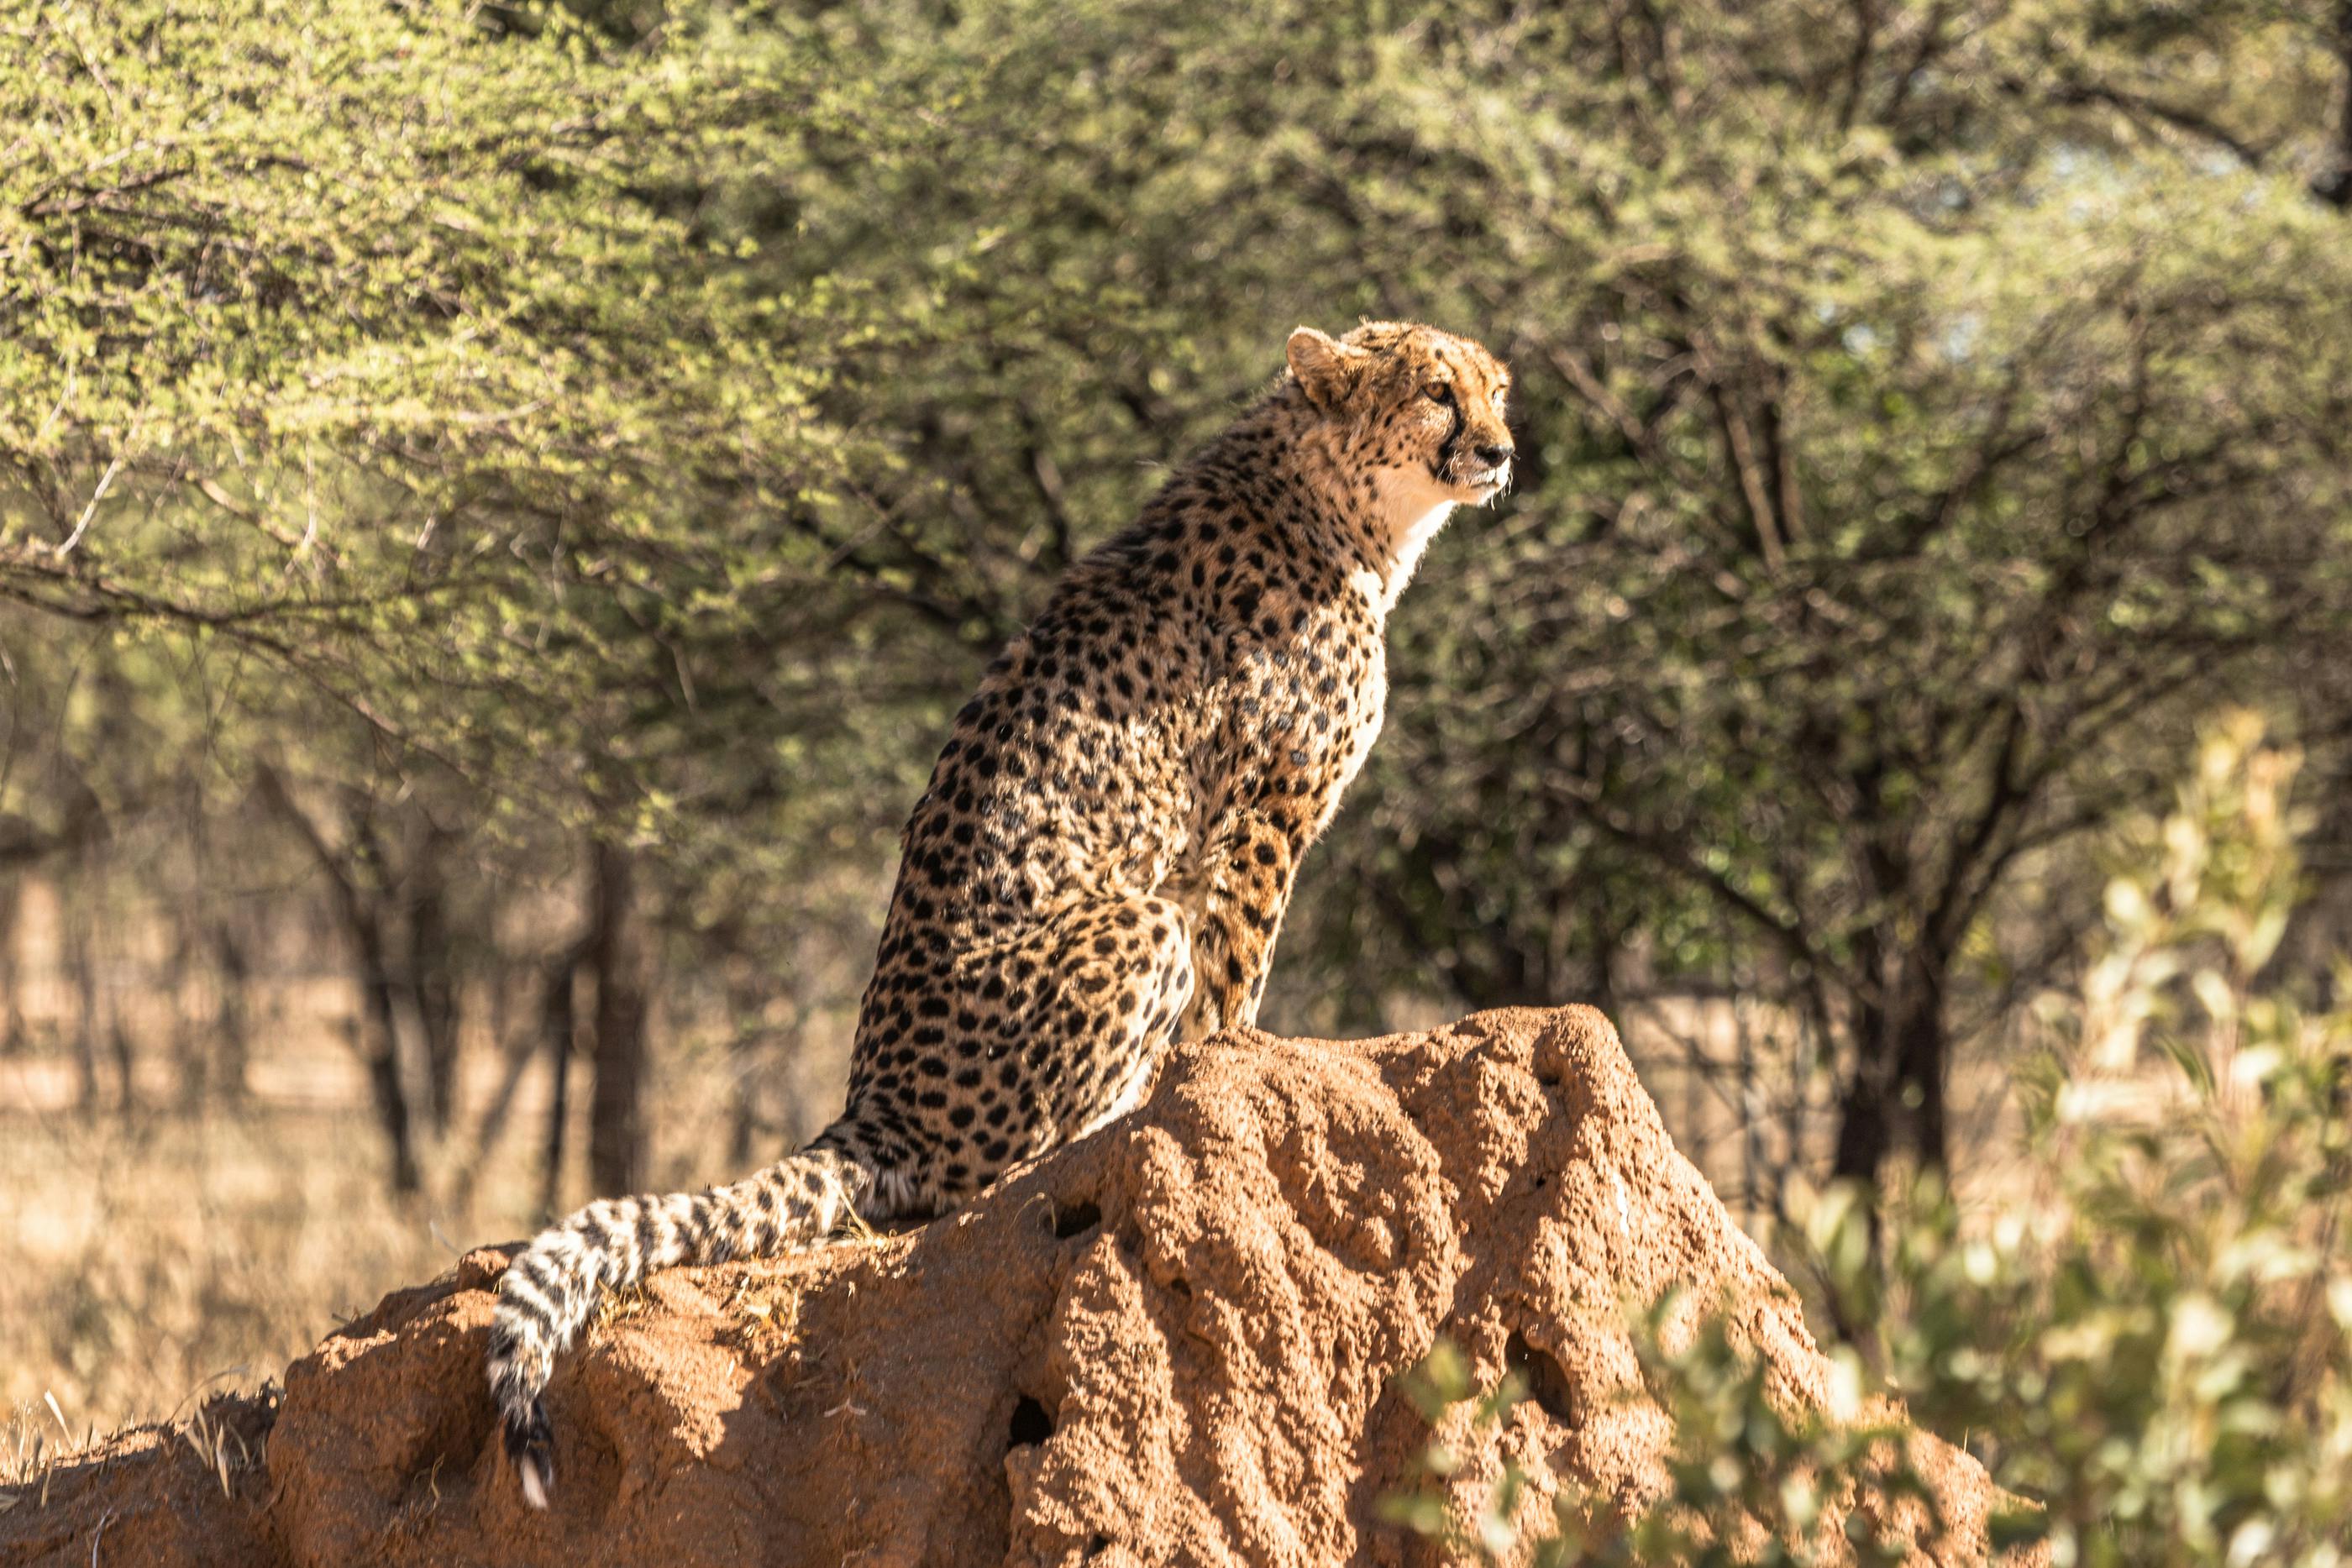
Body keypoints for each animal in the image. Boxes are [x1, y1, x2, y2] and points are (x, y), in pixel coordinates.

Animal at [486, 319, 1515, 1504]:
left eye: (1496, 388)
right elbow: (1235, 980)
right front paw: (1237, 1061)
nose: (1500, 449)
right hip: (1135, 929)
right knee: (1010, 1172)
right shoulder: (1265, 810)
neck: (1339, 501)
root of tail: (873, 1099)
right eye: (1436, 391)